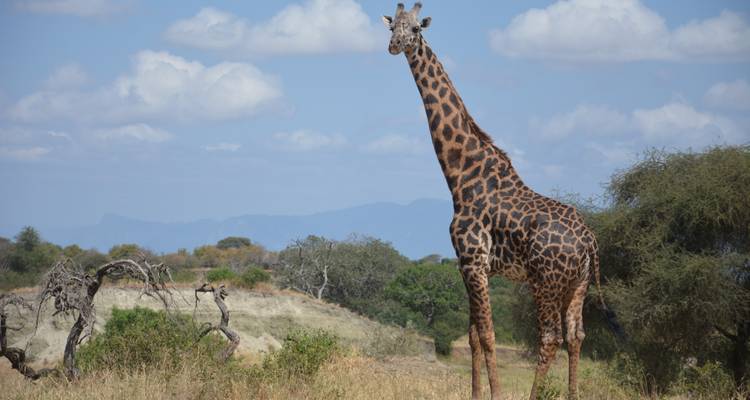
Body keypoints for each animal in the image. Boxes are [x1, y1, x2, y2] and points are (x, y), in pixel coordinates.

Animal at [383, 3, 604, 399]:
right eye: (392, 26)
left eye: (415, 29)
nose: (395, 45)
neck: (461, 175)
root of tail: (589, 242)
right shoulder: (470, 265)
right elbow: (472, 335)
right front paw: (475, 393)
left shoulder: (472, 259)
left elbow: (487, 334)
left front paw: (495, 393)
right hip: (578, 284)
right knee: (577, 335)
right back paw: (573, 393)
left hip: (545, 281)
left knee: (550, 337)